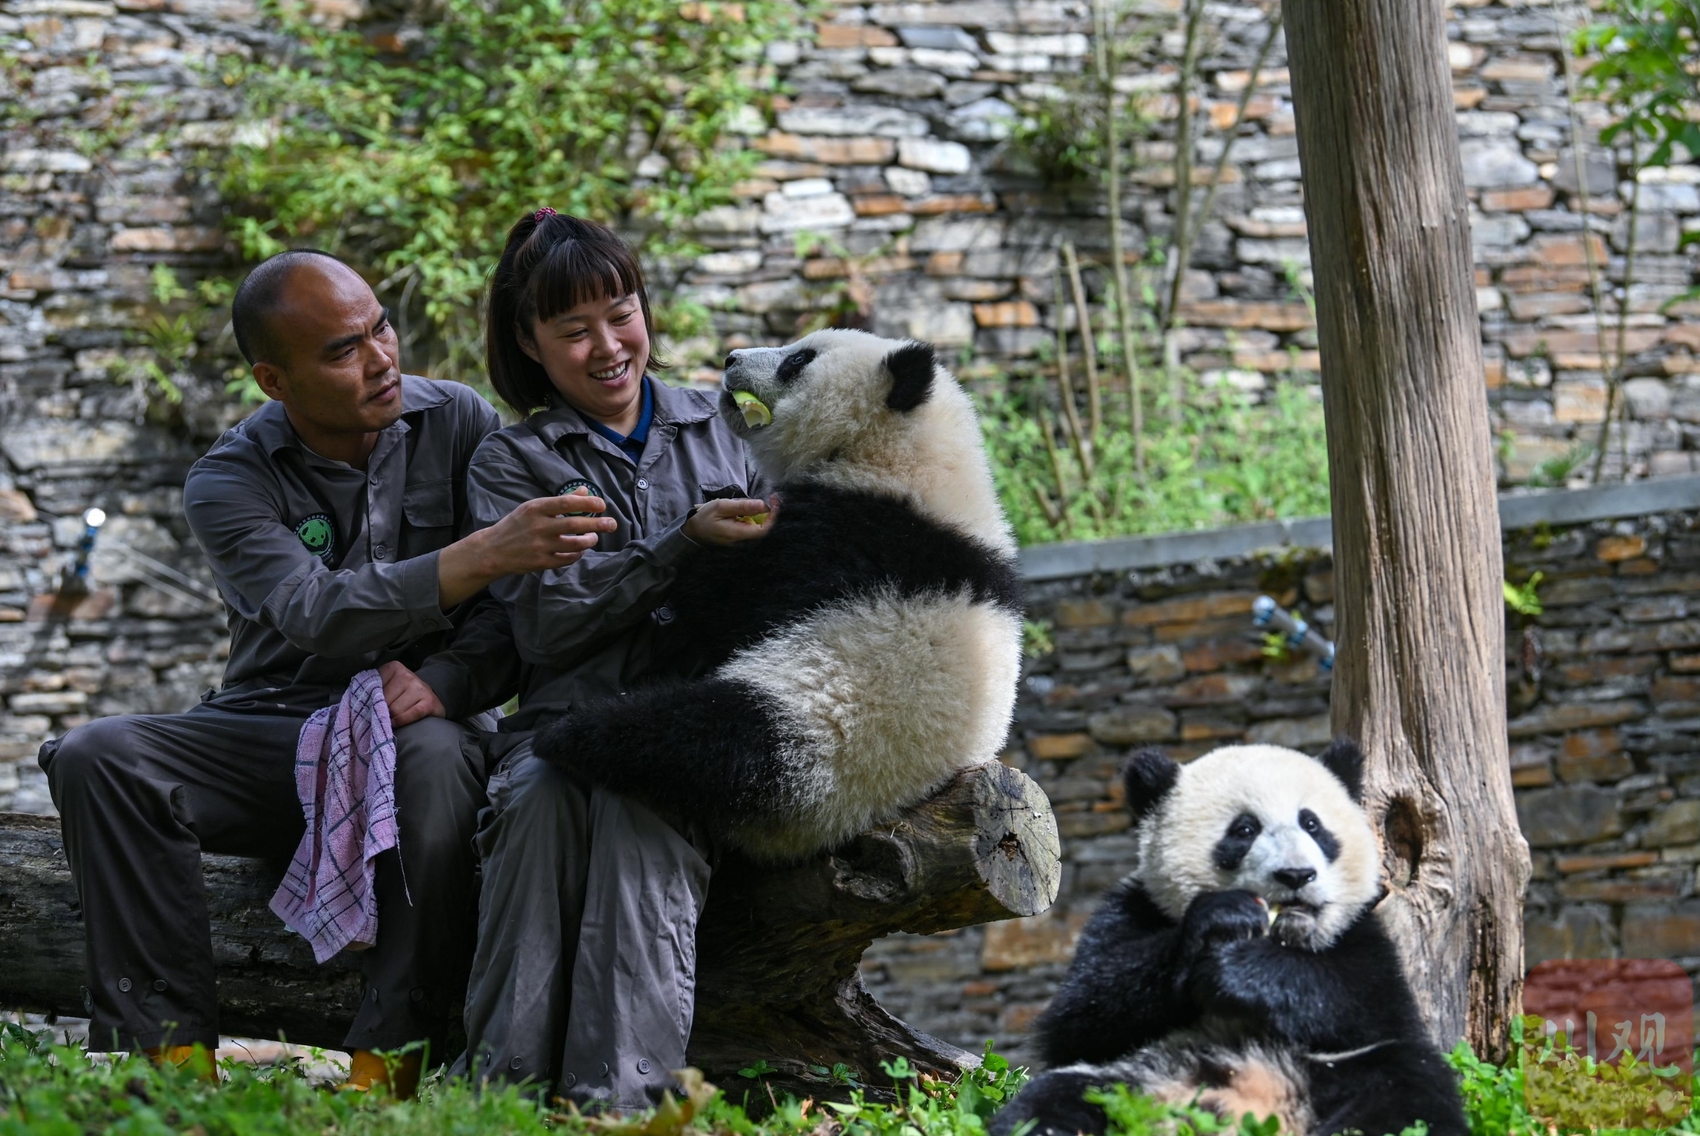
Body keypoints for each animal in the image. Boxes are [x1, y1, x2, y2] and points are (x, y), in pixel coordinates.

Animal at [530, 328, 1013, 860]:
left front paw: (712, 527)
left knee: (693, 738)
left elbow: (730, 594)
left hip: (808, 724)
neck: (902, 451)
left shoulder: (857, 533)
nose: (730, 359)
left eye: (798, 360)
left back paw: (568, 735)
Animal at [992, 741, 1468, 1136]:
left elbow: (1376, 1005)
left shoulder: (1363, 934)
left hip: (1338, 1071)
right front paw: (1221, 919)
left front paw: (1242, 973)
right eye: (1244, 830)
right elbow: (1077, 1017)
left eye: (1312, 824)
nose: (1296, 875)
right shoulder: (1129, 911)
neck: (1282, 934)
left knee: (1406, 1091)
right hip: (1129, 1077)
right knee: (1052, 1102)